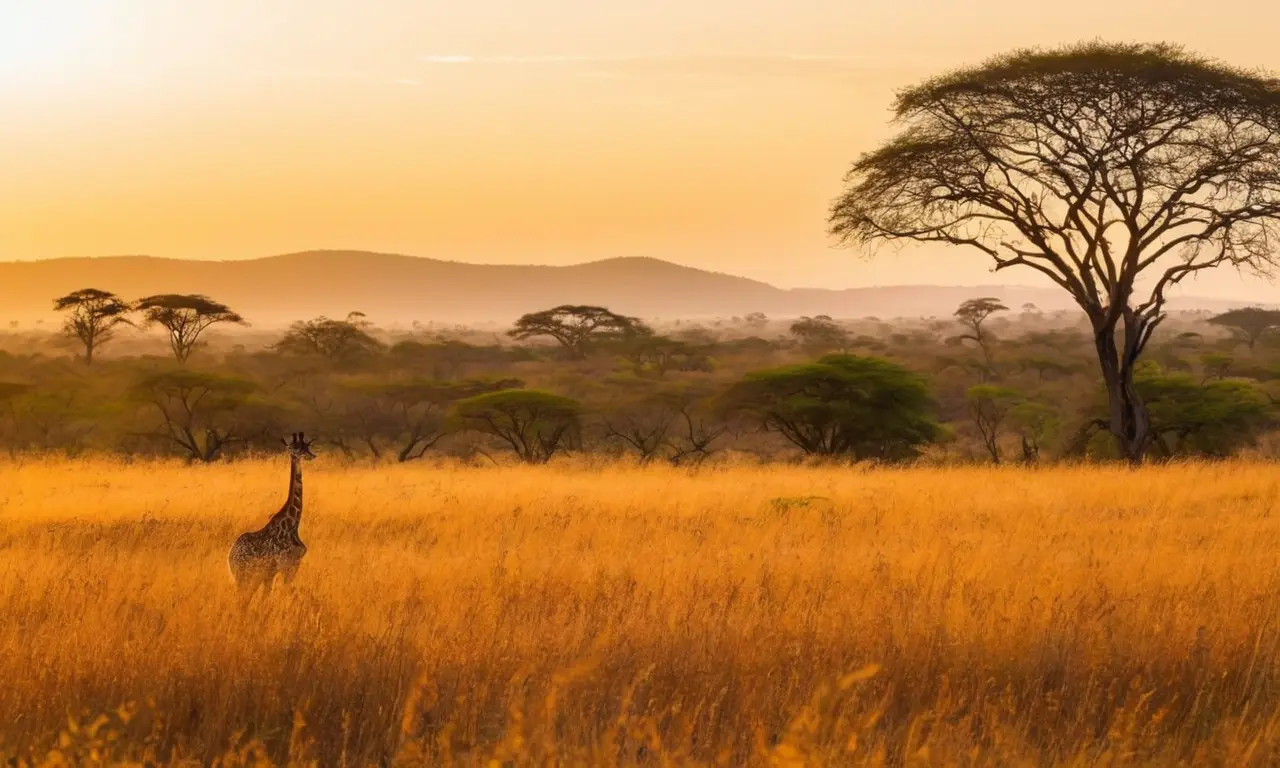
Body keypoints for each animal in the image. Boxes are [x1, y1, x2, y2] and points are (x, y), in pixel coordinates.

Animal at [227, 432, 316, 596]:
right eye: (297, 450)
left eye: (306, 447)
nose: (311, 455)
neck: (293, 523)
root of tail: (230, 556)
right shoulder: (287, 566)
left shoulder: (276, 571)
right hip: (244, 575)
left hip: (249, 577)